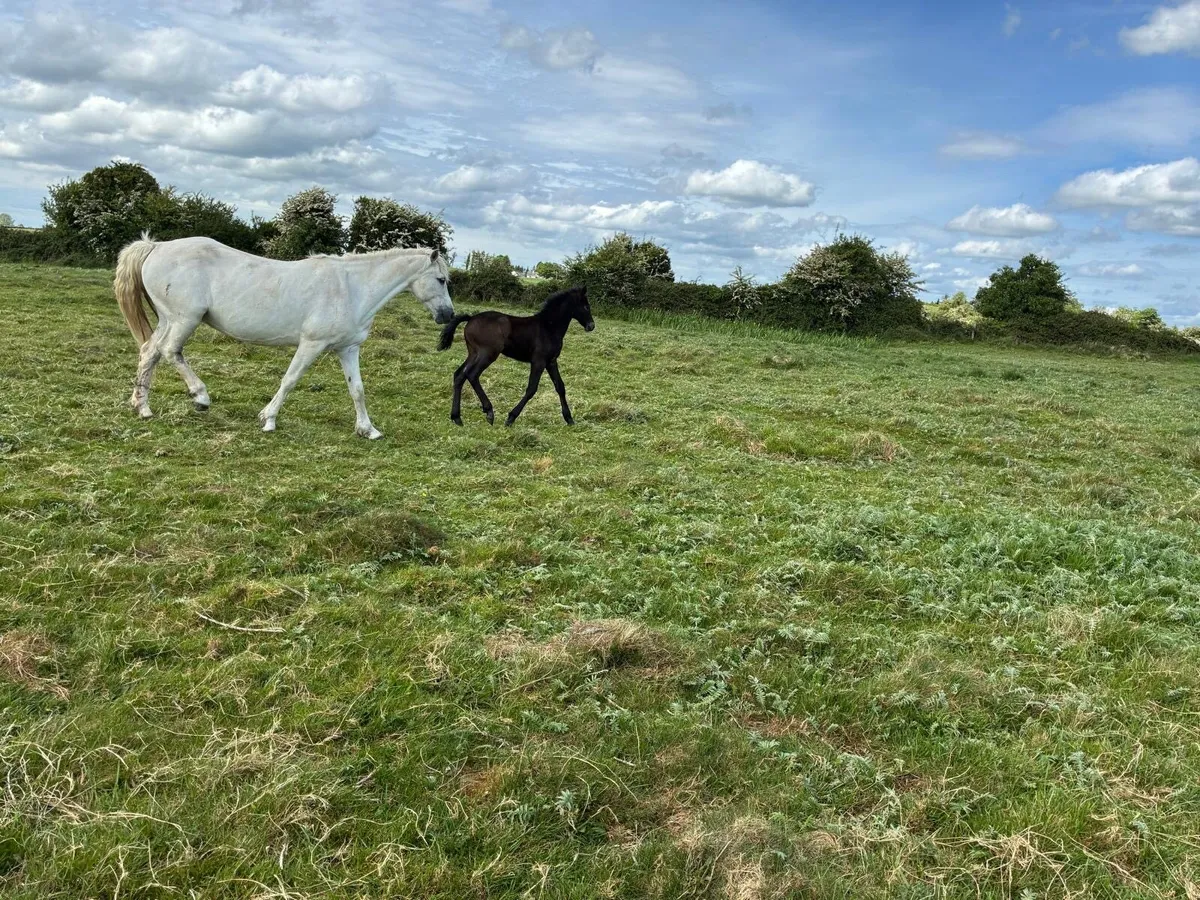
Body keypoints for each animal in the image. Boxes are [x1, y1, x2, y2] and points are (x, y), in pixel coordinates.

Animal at [113, 235, 454, 439]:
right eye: (441, 279)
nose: (448, 315)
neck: (351, 288)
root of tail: (156, 247)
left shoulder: (348, 349)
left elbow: (357, 390)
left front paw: (368, 430)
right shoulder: (311, 344)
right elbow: (290, 380)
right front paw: (268, 419)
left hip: (168, 319)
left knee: (150, 352)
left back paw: (142, 408)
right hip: (184, 318)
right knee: (171, 351)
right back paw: (200, 397)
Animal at [437, 285, 595, 427]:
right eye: (586, 306)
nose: (591, 326)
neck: (549, 327)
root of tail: (470, 318)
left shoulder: (551, 361)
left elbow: (560, 386)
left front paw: (569, 419)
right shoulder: (538, 361)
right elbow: (531, 389)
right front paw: (511, 417)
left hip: (473, 353)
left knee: (459, 375)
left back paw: (457, 418)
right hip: (487, 354)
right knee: (472, 375)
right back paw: (489, 412)